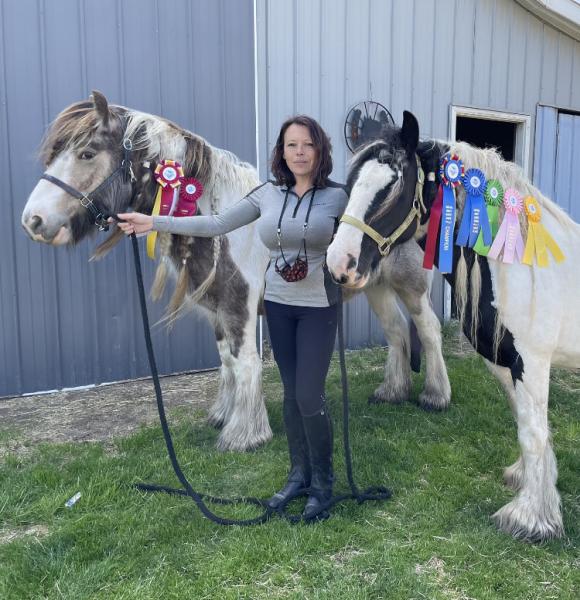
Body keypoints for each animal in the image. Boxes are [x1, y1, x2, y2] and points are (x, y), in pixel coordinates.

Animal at [20, 92, 450, 450]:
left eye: (87, 153)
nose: (33, 221)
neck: (223, 225)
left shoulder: (239, 307)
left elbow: (245, 364)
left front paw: (244, 435)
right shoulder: (217, 309)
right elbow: (226, 361)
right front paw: (223, 416)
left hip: (410, 286)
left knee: (428, 330)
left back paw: (436, 395)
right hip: (374, 284)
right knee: (396, 330)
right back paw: (391, 391)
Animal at [328, 110, 576, 540]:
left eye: (393, 184)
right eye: (351, 181)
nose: (338, 263)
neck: (519, 265)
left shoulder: (532, 362)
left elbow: (533, 432)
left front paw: (529, 518)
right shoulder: (504, 361)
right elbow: (527, 425)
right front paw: (530, 484)